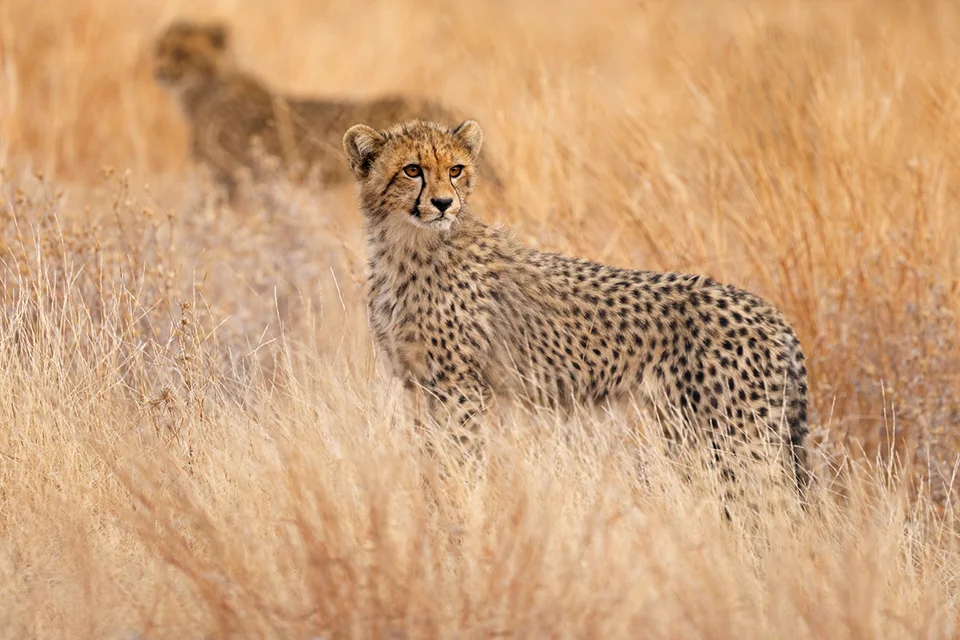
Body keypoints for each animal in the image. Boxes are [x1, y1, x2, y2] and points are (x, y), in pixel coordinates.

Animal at [342, 118, 812, 505]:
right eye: (412, 170)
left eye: (455, 170)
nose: (443, 203)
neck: (407, 247)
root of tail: (771, 313)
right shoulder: (416, 383)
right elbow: (427, 454)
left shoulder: (461, 388)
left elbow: (459, 459)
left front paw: (458, 515)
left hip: (736, 438)